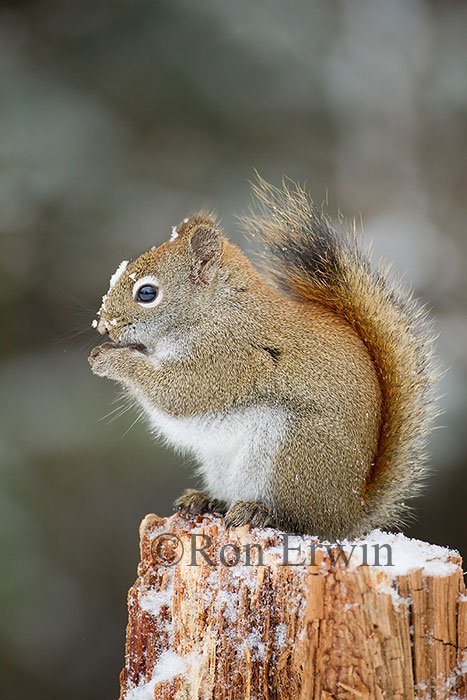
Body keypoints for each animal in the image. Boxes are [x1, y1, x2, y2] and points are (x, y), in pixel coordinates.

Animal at [88, 177, 438, 540]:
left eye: (147, 293)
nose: (102, 326)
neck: (214, 311)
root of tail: (349, 515)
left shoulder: (229, 359)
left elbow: (178, 394)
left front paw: (112, 361)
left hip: (291, 453)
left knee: (300, 520)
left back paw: (260, 511)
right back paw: (206, 499)